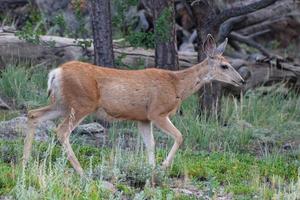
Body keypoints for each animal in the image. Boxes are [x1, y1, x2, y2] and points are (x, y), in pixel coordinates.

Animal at [22, 34, 244, 177]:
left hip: (62, 104)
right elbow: (180, 136)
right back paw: (81, 171)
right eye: (224, 65)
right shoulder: (157, 112)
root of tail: (55, 72)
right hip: (82, 103)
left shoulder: (143, 118)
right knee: (61, 131)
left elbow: (150, 143)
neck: (177, 85)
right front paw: (163, 167)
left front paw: (151, 170)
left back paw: (25, 161)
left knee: (33, 114)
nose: (241, 80)